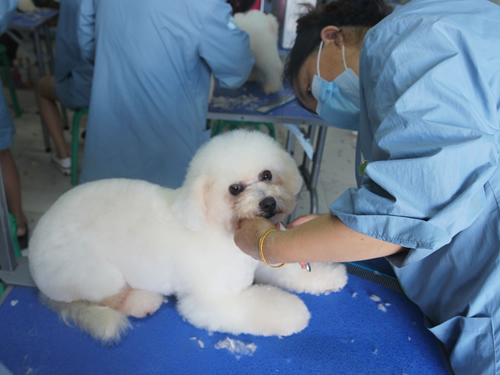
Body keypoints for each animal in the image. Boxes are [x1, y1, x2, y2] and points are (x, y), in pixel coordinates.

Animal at [28, 131, 348, 344]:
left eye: (267, 175)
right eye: (234, 188)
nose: (268, 203)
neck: (218, 228)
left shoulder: (262, 257)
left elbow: (295, 269)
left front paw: (329, 275)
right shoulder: (213, 299)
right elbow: (265, 307)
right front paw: (294, 312)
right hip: (94, 272)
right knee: (106, 298)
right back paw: (141, 301)